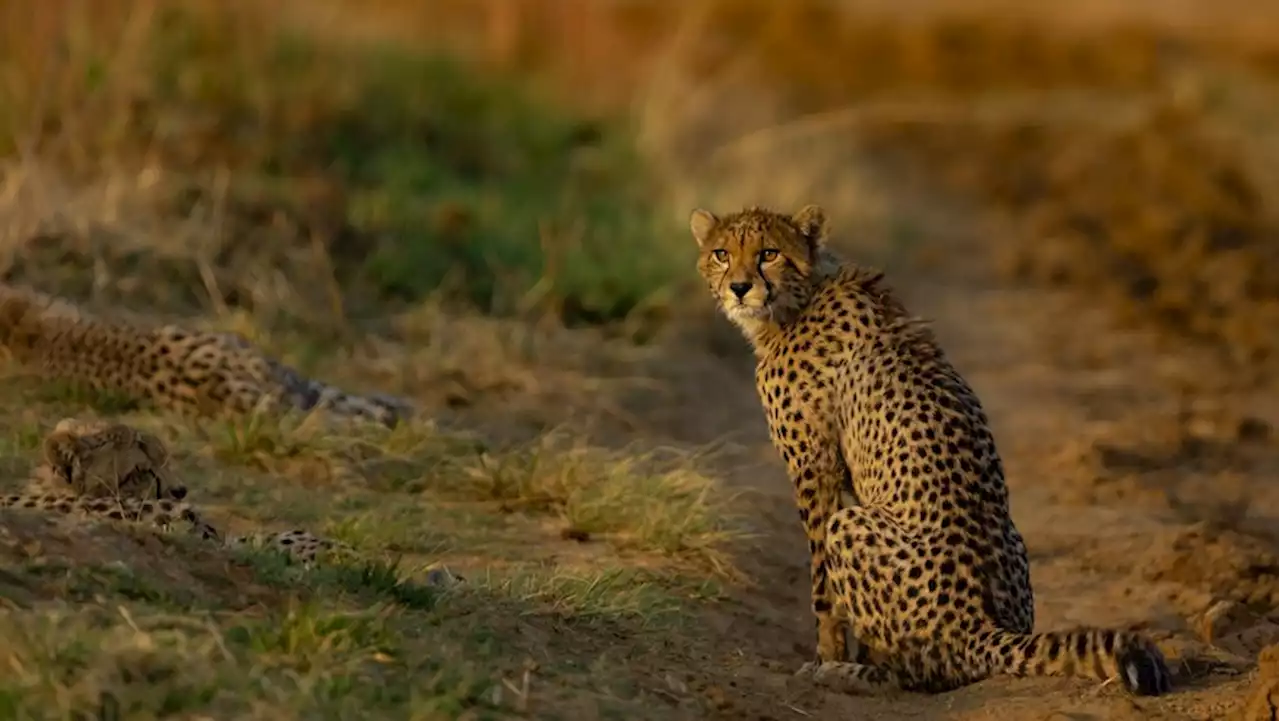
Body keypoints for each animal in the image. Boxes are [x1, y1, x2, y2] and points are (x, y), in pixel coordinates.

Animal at [691, 206, 1172, 696]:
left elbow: (821, 583)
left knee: (917, 673)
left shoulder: (814, 466)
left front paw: (826, 657)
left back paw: (853, 673)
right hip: (1012, 541)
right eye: (721, 253)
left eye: (769, 253)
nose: (739, 287)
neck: (799, 299)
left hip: (852, 526)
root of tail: (983, 627)